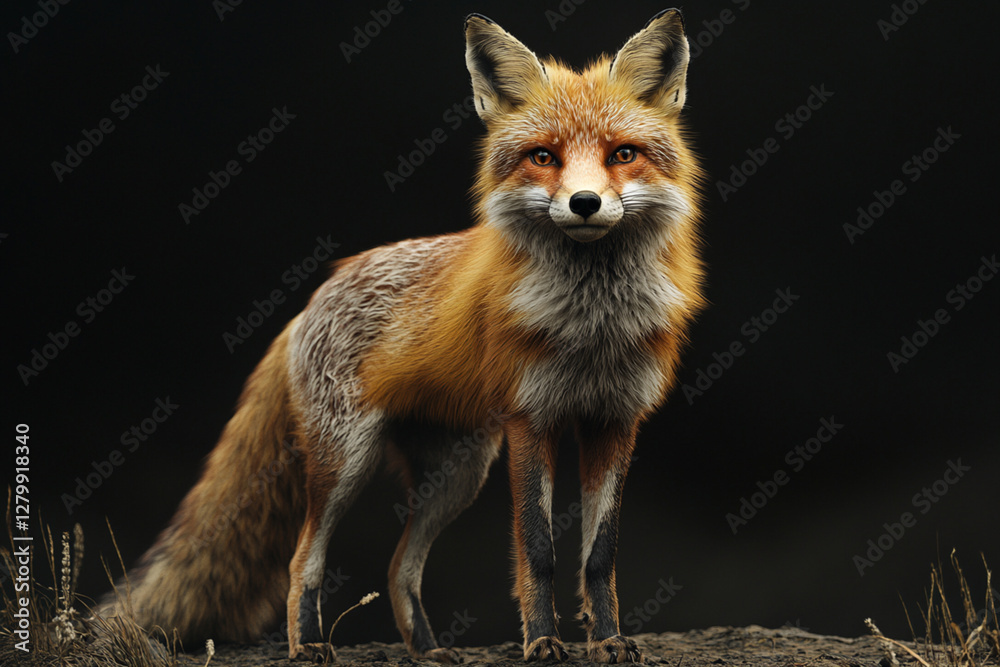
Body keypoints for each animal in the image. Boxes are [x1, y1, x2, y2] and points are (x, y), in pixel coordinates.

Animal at [99, 9, 705, 664]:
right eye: (544, 157)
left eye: (623, 154)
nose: (585, 202)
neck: (593, 325)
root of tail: (311, 301)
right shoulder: (530, 419)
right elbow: (538, 552)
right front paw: (543, 641)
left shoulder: (615, 421)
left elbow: (600, 554)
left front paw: (609, 639)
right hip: (347, 460)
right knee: (302, 559)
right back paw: (308, 645)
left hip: (456, 475)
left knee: (398, 569)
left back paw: (427, 649)